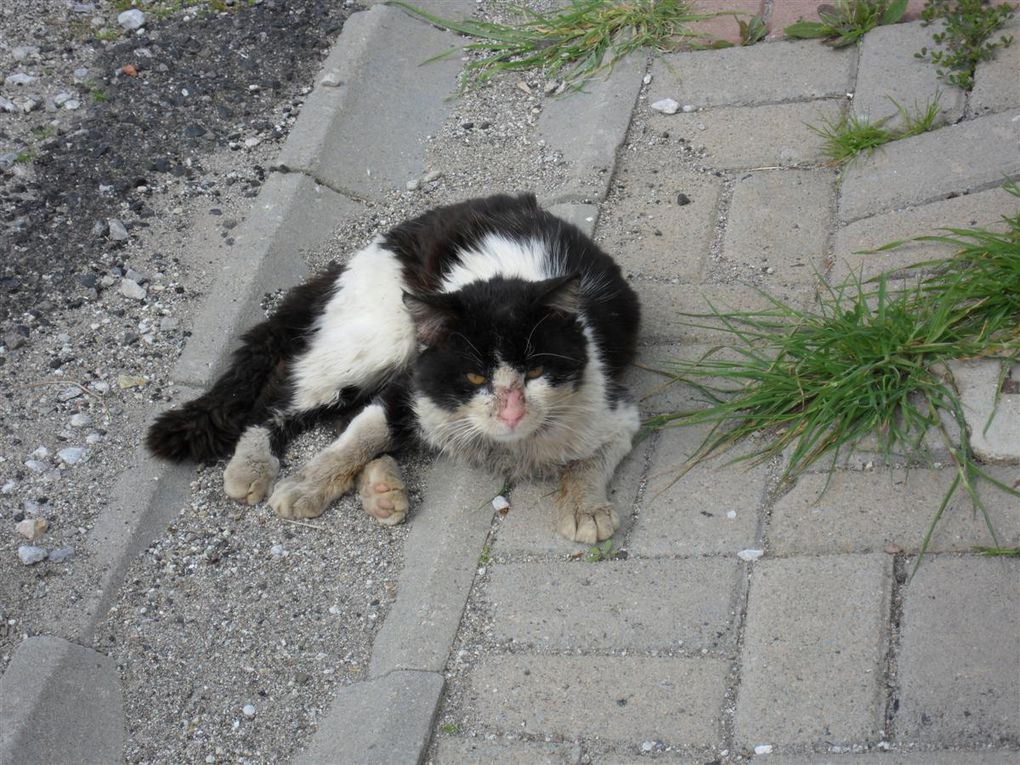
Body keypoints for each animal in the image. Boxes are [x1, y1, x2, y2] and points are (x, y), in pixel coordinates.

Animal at [145, 194, 636, 542]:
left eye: (534, 373)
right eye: (475, 377)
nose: (512, 412)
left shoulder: (617, 408)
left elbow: (592, 458)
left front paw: (586, 508)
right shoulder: (411, 389)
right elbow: (362, 435)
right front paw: (305, 487)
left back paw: (382, 490)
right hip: (375, 344)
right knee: (278, 402)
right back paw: (252, 469)